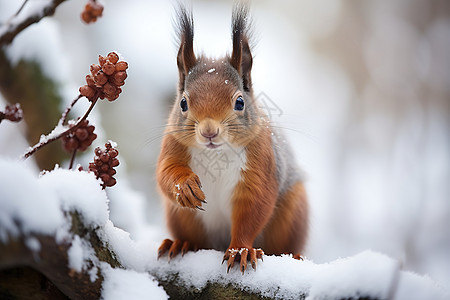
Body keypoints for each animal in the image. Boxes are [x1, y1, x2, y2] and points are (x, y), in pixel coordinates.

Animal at [156, 2, 308, 274]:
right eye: (183, 103)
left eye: (239, 102)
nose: (209, 131)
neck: (215, 153)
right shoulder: (172, 144)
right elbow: (165, 173)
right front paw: (185, 187)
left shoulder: (261, 161)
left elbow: (254, 208)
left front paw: (241, 250)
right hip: (180, 216)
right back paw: (180, 243)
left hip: (293, 208)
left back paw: (295, 256)